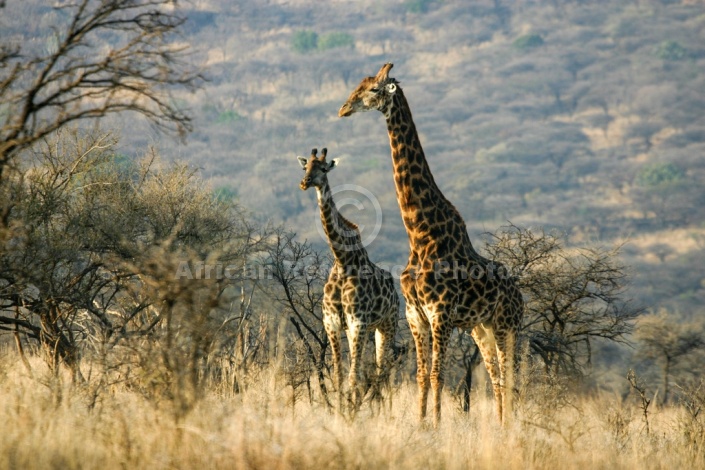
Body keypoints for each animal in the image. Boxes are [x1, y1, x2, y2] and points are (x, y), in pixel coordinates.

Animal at [296, 147, 398, 408]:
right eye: (305, 167)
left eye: (323, 169)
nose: (304, 183)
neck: (343, 261)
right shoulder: (331, 322)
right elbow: (339, 375)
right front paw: (341, 411)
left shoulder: (357, 322)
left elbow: (353, 378)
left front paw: (349, 413)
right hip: (368, 330)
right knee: (371, 374)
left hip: (387, 326)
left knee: (382, 373)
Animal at [338, 62, 524, 426]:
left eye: (373, 89)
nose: (343, 109)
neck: (421, 233)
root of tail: (522, 297)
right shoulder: (415, 314)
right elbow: (422, 375)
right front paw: (421, 424)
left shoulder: (440, 313)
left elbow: (438, 375)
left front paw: (436, 425)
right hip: (481, 328)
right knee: (496, 376)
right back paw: (499, 426)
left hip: (507, 325)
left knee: (508, 376)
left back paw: (509, 427)